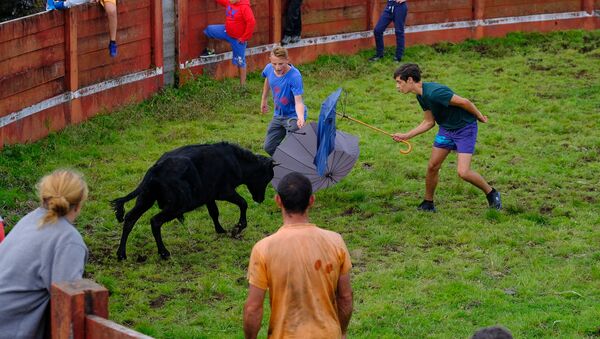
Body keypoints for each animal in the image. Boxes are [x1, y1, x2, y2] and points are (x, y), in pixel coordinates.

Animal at [111, 143, 276, 260]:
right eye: (267, 177)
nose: (260, 199)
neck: (235, 160)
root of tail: (155, 169)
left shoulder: (209, 196)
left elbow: (214, 212)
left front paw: (221, 230)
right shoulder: (225, 192)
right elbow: (243, 203)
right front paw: (238, 227)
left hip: (146, 199)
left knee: (130, 218)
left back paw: (121, 254)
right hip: (177, 206)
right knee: (155, 221)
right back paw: (164, 253)